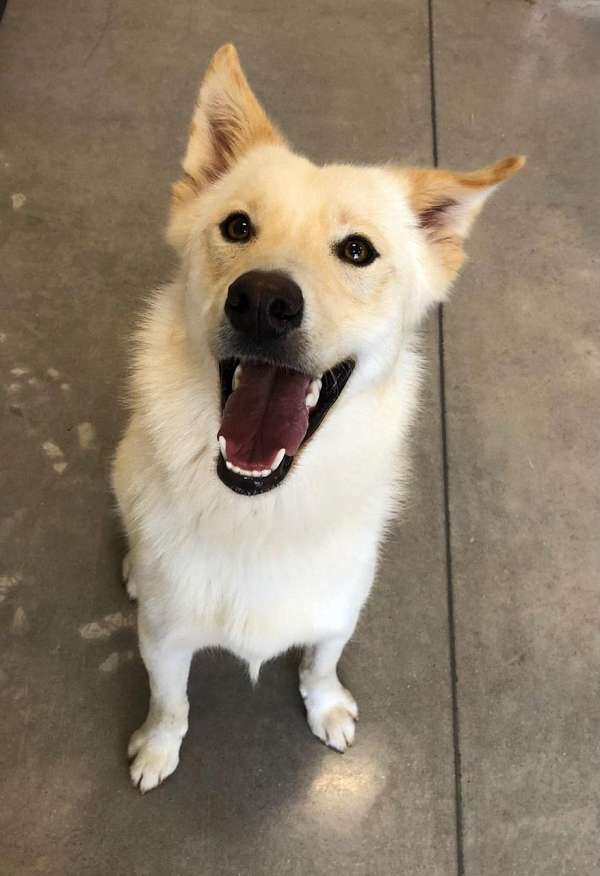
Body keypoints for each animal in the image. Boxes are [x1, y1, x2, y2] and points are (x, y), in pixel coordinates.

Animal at [112, 42, 524, 792]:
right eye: (237, 227)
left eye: (357, 250)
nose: (262, 300)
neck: (264, 511)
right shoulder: (162, 638)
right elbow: (170, 700)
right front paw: (158, 747)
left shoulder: (339, 611)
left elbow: (321, 662)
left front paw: (325, 706)